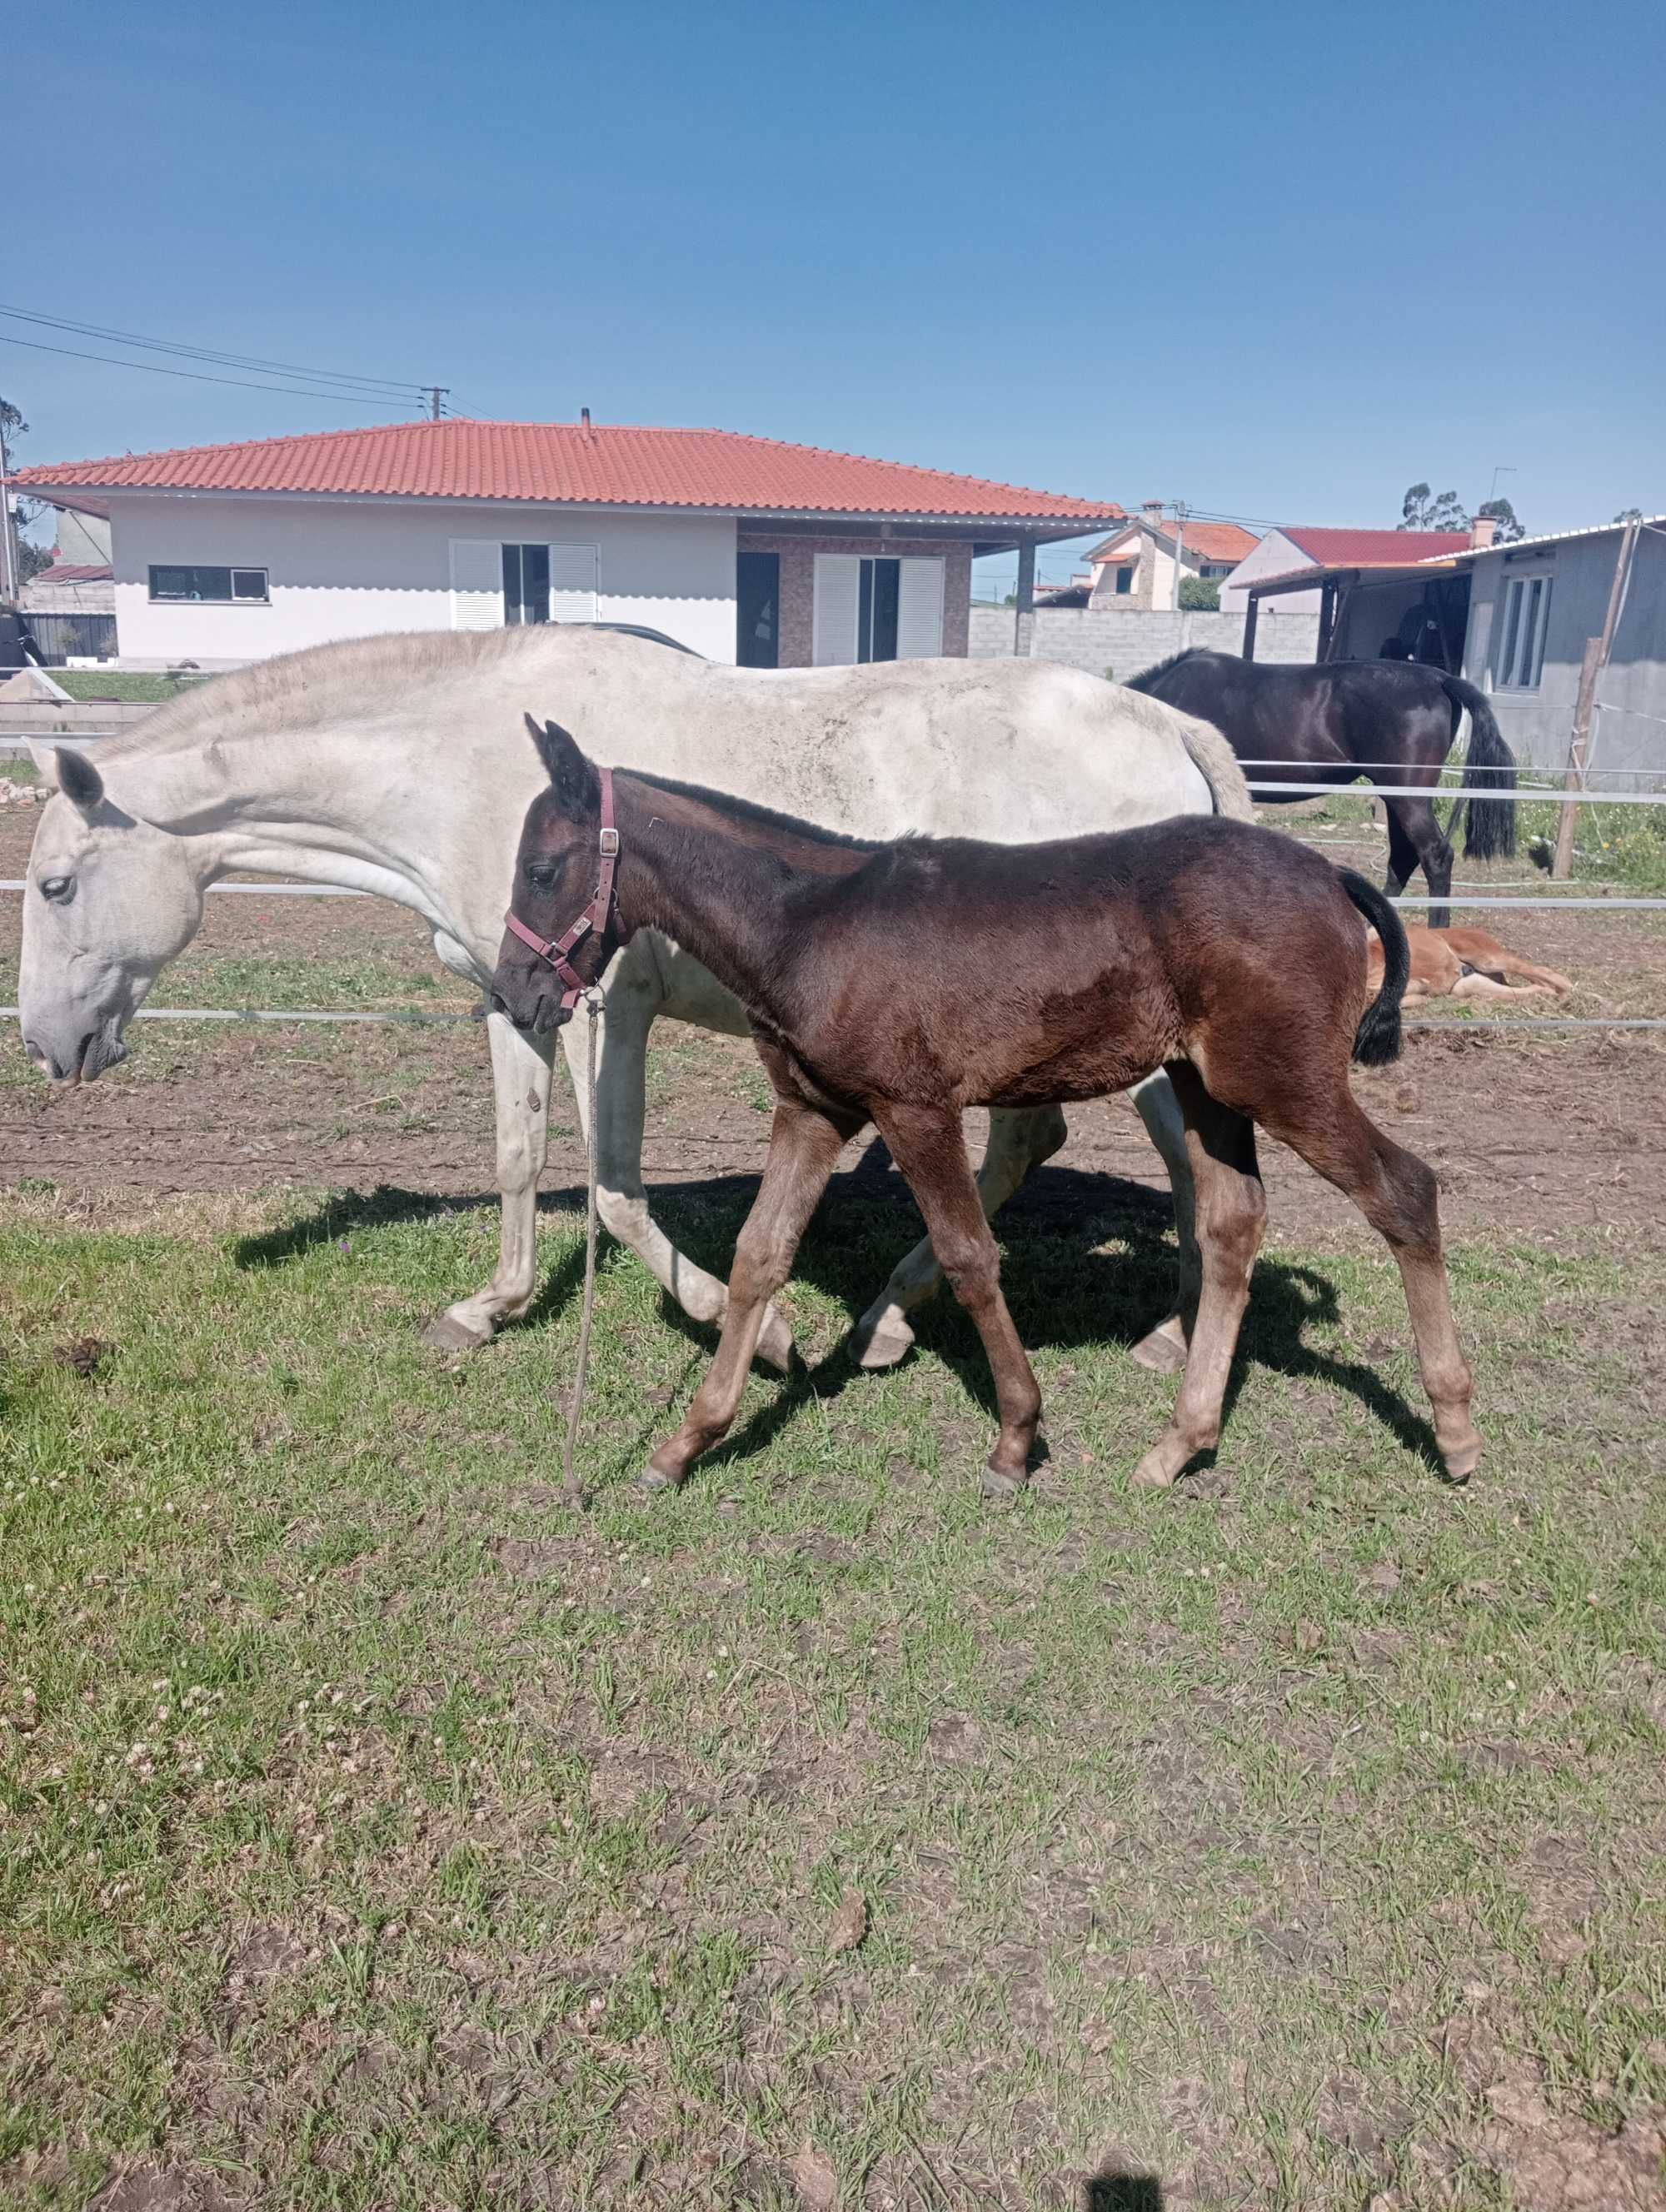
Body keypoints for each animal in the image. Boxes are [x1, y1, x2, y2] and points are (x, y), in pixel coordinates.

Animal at [19, 623, 1248, 1371]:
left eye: (55, 884)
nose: (43, 1044)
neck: (459, 766)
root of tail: (1165, 723)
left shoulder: (601, 1010)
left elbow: (614, 1193)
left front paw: (757, 1333)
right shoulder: (512, 999)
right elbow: (520, 1161)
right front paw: (490, 1307)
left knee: (1183, 1165)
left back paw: (1163, 1338)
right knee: (1062, 1150)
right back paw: (897, 1321)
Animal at [493, 720, 1478, 1504]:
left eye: (542, 869)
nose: (514, 995)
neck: (809, 922)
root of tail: (1330, 873)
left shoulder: (914, 1107)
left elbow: (970, 1257)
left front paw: (1014, 1439)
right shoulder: (811, 1111)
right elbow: (758, 1257)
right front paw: (687, 1441)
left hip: (1286, 1084)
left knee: (1404, 1191)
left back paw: (1455, 1428)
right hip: (1212, 1089)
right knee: (1234, 1223)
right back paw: (1180, 1441)